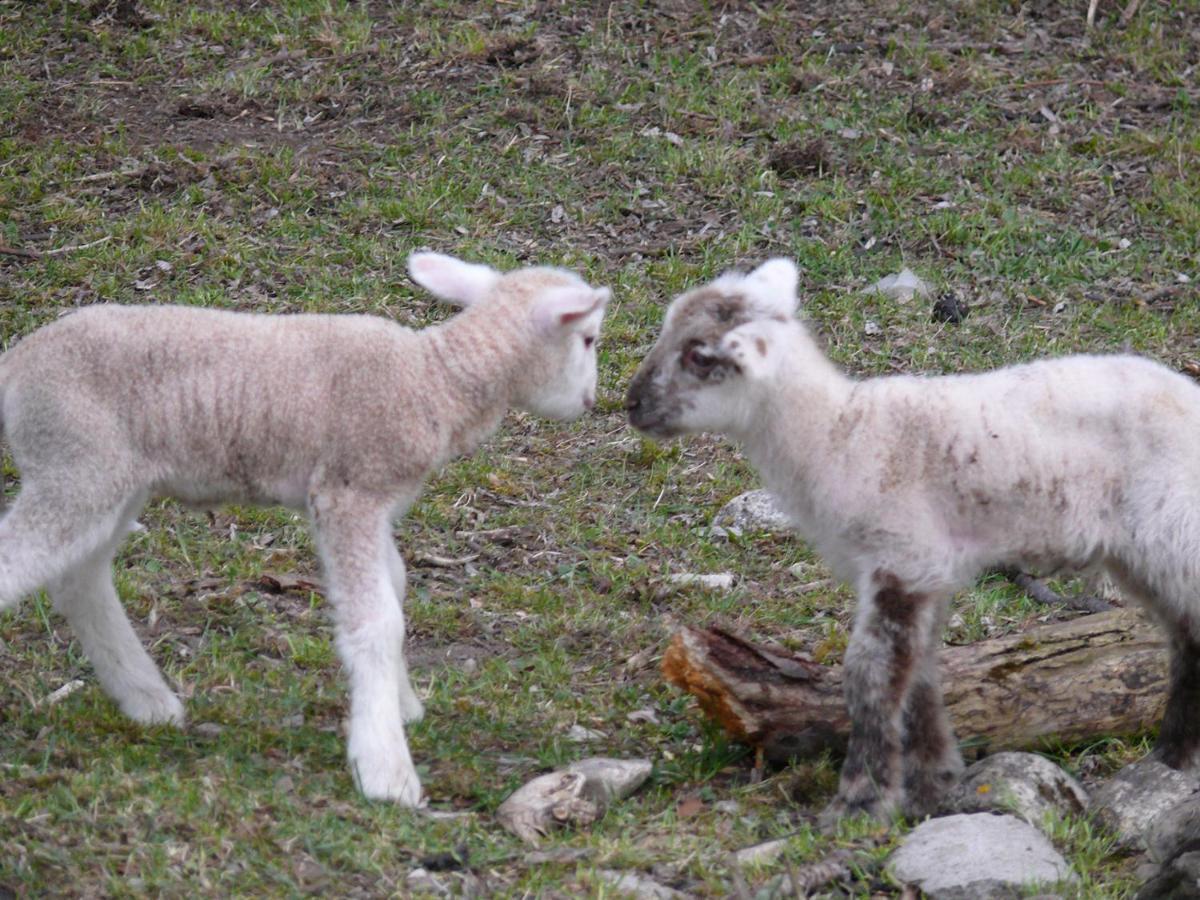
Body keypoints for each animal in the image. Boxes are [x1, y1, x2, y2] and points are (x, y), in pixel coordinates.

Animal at [0, 250, 609, 806]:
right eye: (587, 340)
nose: (591, 400)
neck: (434, 380)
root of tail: (14, 367)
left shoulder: (368, 505)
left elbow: (394, 585)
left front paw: (401, 704)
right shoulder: (348, 494)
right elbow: (375, 619)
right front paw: (385, 769)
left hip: (110, 479)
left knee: (80, 581)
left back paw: (148, 700)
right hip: (75, 462)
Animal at [628, 256, 1200, 830]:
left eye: (700, 355)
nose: (632, 404)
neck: (838, 435)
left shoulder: (901, 556)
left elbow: (871, 675)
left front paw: (859, 802)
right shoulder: (927, 570)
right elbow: (920, 672)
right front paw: (931, 785)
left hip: (1172, 528)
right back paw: (1171, 757)